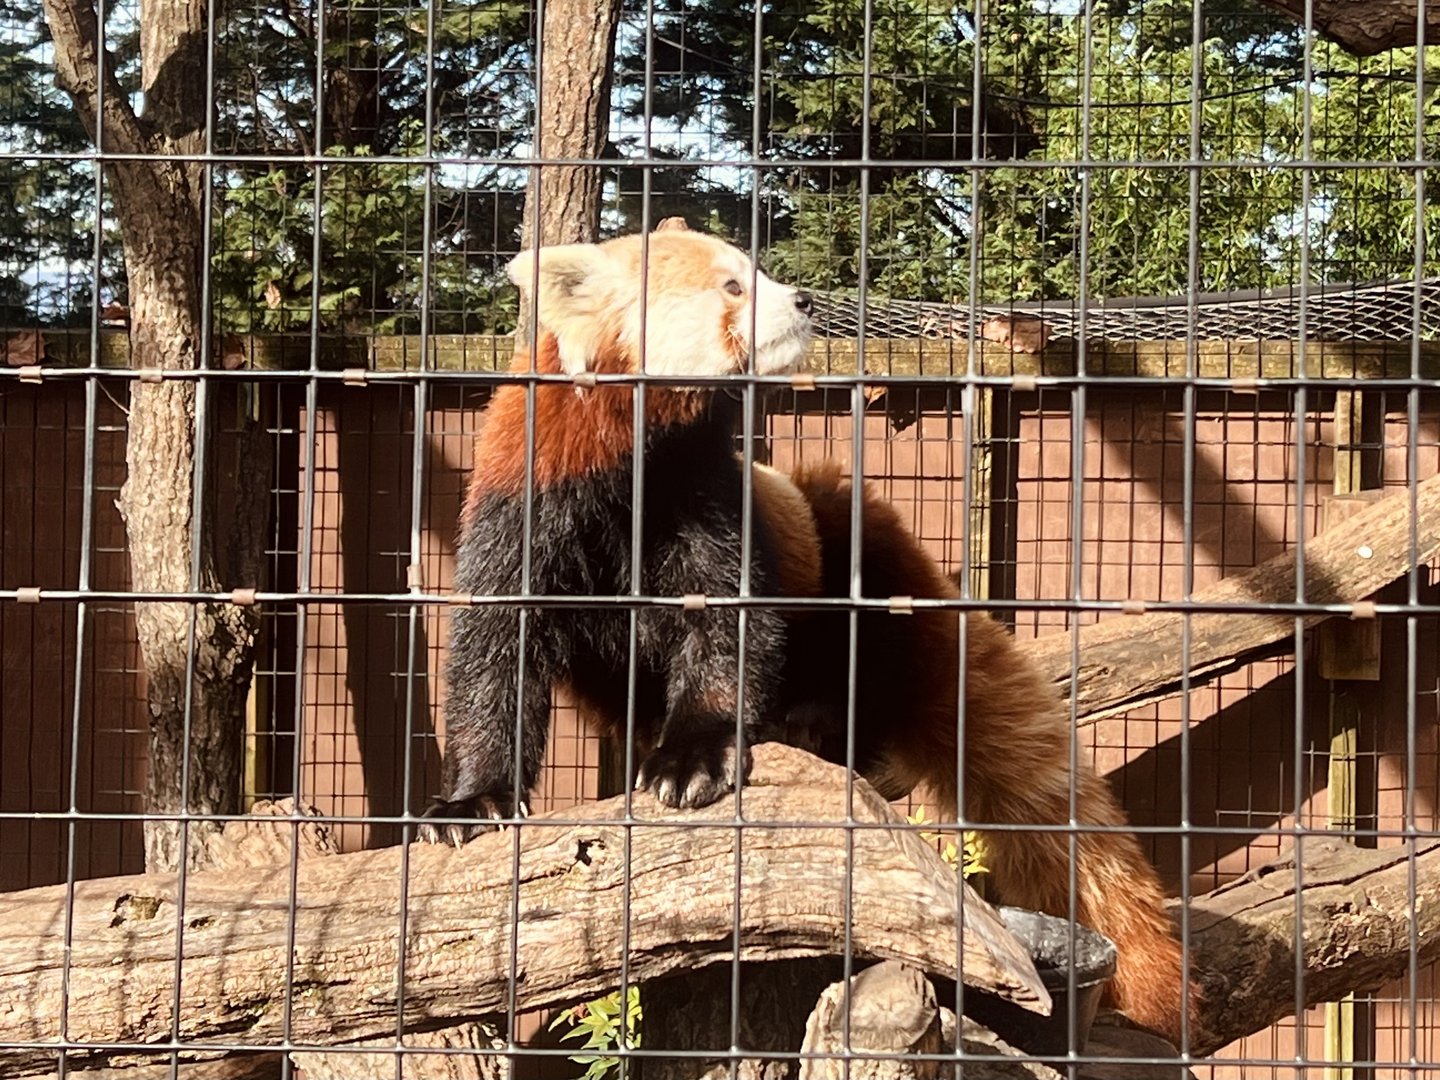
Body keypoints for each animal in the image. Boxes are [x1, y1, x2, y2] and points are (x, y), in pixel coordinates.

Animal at [419, 218, 1194, 1044]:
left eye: (758, 270)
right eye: (733, 286)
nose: (805, 300)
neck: (637, 466)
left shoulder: (712, 502)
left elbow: (730, 634)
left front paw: (695, 755)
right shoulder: (524, 503)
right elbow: (493, 655)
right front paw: (472, 803)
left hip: (851, 546)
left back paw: (816, 722)